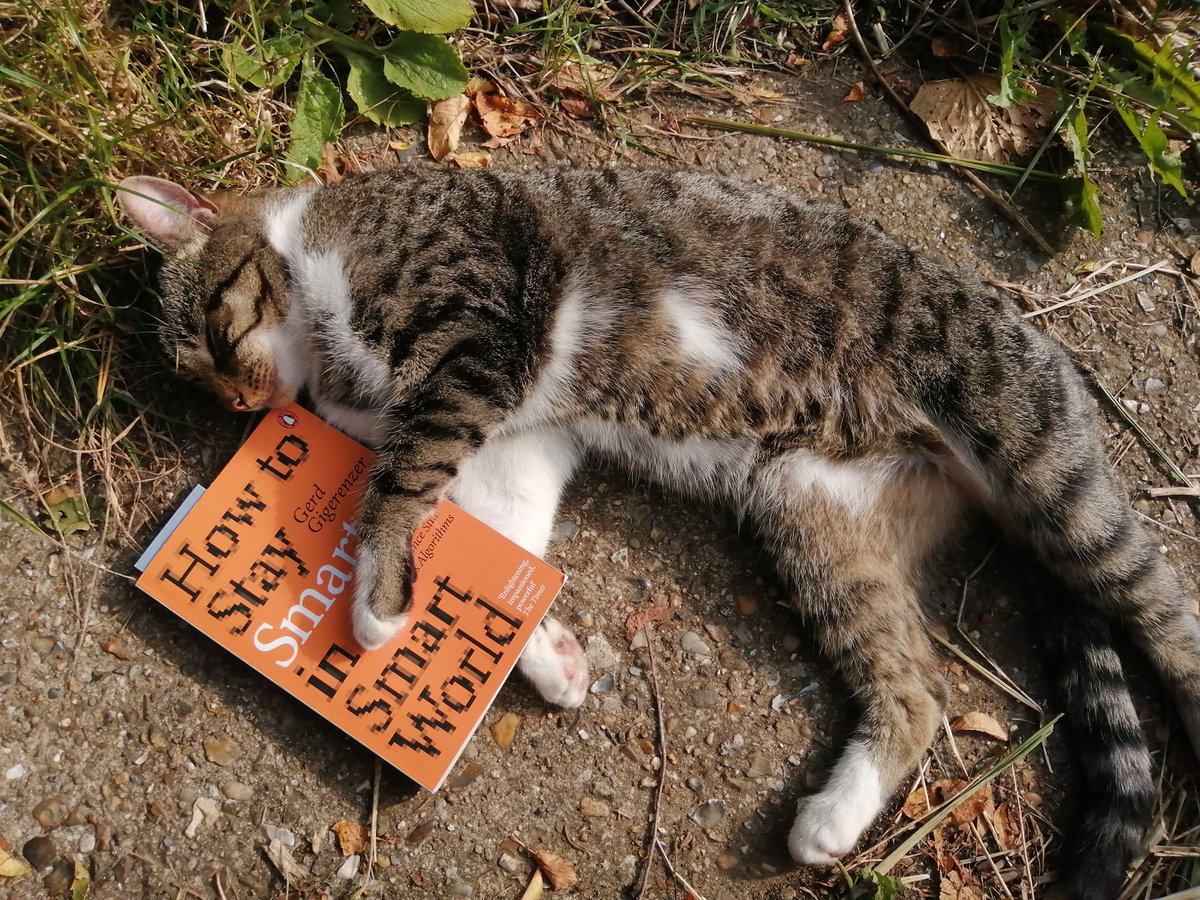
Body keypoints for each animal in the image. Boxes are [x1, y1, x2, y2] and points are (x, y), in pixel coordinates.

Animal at [114, 170, 1200, 900]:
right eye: (204, 386)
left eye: (212, 336)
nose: (245, 403)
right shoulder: (517, 438)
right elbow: (500, 539)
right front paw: (543, 653)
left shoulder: (476, 339)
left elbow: (401, 483)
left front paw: (374, 603)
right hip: (817, 520)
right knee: (916, 691)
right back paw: (829, 823)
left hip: (1042, 468)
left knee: (1169, 619)